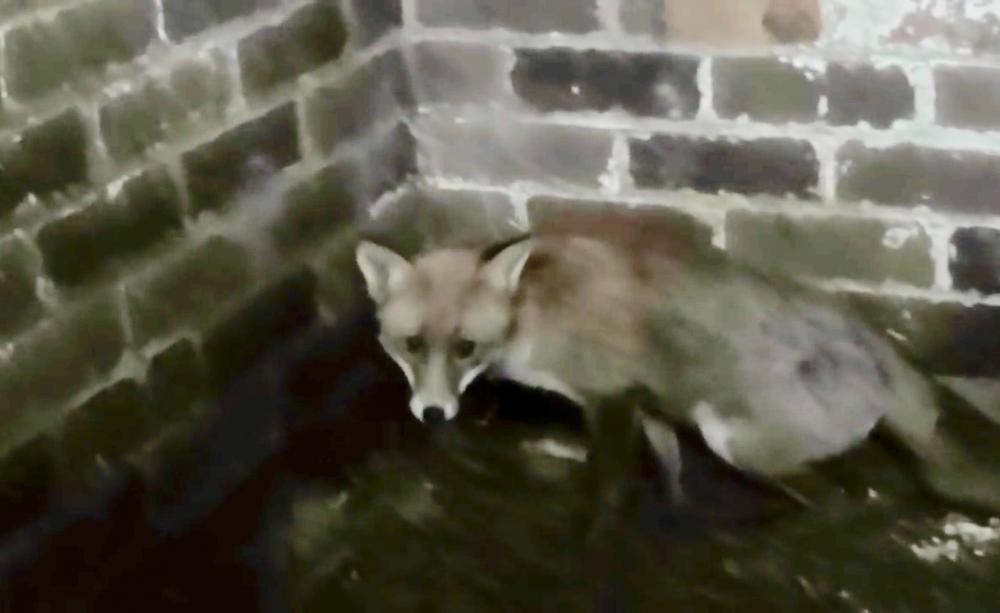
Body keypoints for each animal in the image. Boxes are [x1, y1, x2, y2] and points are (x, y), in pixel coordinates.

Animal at [355, 209, 1000, 513]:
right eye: (411, 345)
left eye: (465, 347)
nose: (433, 414)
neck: (536, 314)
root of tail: (876, 341)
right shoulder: (648, 399)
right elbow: (666, 465)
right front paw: (674, 506)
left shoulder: (611, 395)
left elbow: (609, 491)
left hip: (732, 437)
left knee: (848, 494)